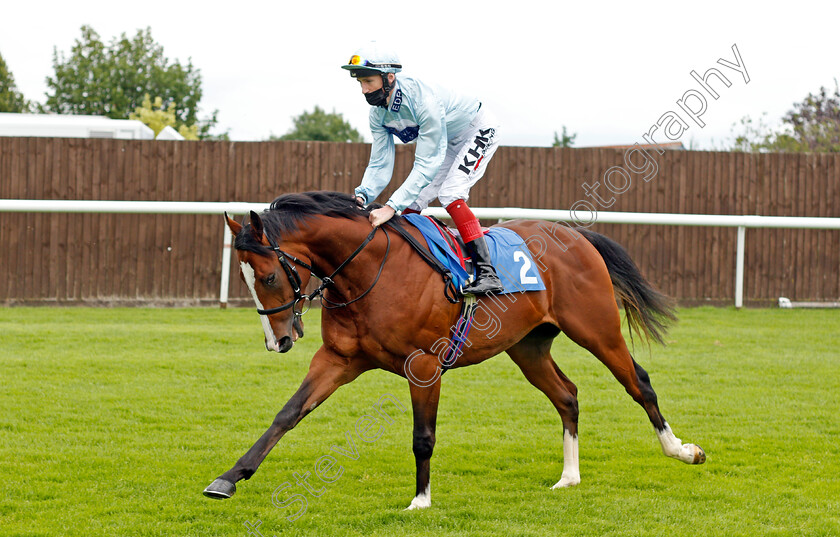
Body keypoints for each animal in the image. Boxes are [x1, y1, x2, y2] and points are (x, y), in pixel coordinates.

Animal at [203, 192, 704, 506]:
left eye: (268, 275)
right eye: (244, 278)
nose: (278, 341)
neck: (370, 273)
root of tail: (576, 235)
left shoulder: (424, 365)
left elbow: (422, 436)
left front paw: (420, 500)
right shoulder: (338, 359)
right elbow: (287, 414)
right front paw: (229, 478)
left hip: (598, 330)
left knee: (639, 383)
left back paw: (681, 450)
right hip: (528, 347)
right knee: (567, 395)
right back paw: (569, 476)